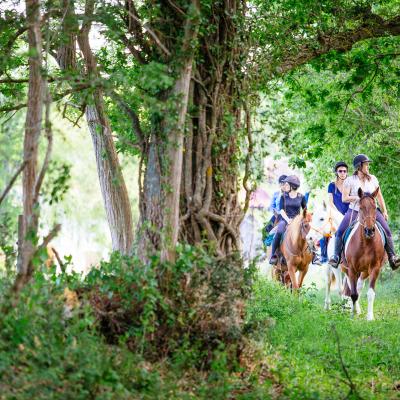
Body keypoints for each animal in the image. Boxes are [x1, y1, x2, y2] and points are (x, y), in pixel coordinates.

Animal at [342, 186, 386, 320]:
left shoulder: (374, 268)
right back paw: (352, 309)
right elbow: (353, 293)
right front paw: (352, 315)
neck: (365, 243)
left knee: (359, 286)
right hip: (346, 269)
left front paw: (370, 317)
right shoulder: (351, 269)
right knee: (351, 288)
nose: (369, 230)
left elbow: (370, 293)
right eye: (361, 207)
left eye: (374, 207)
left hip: (364, 271)